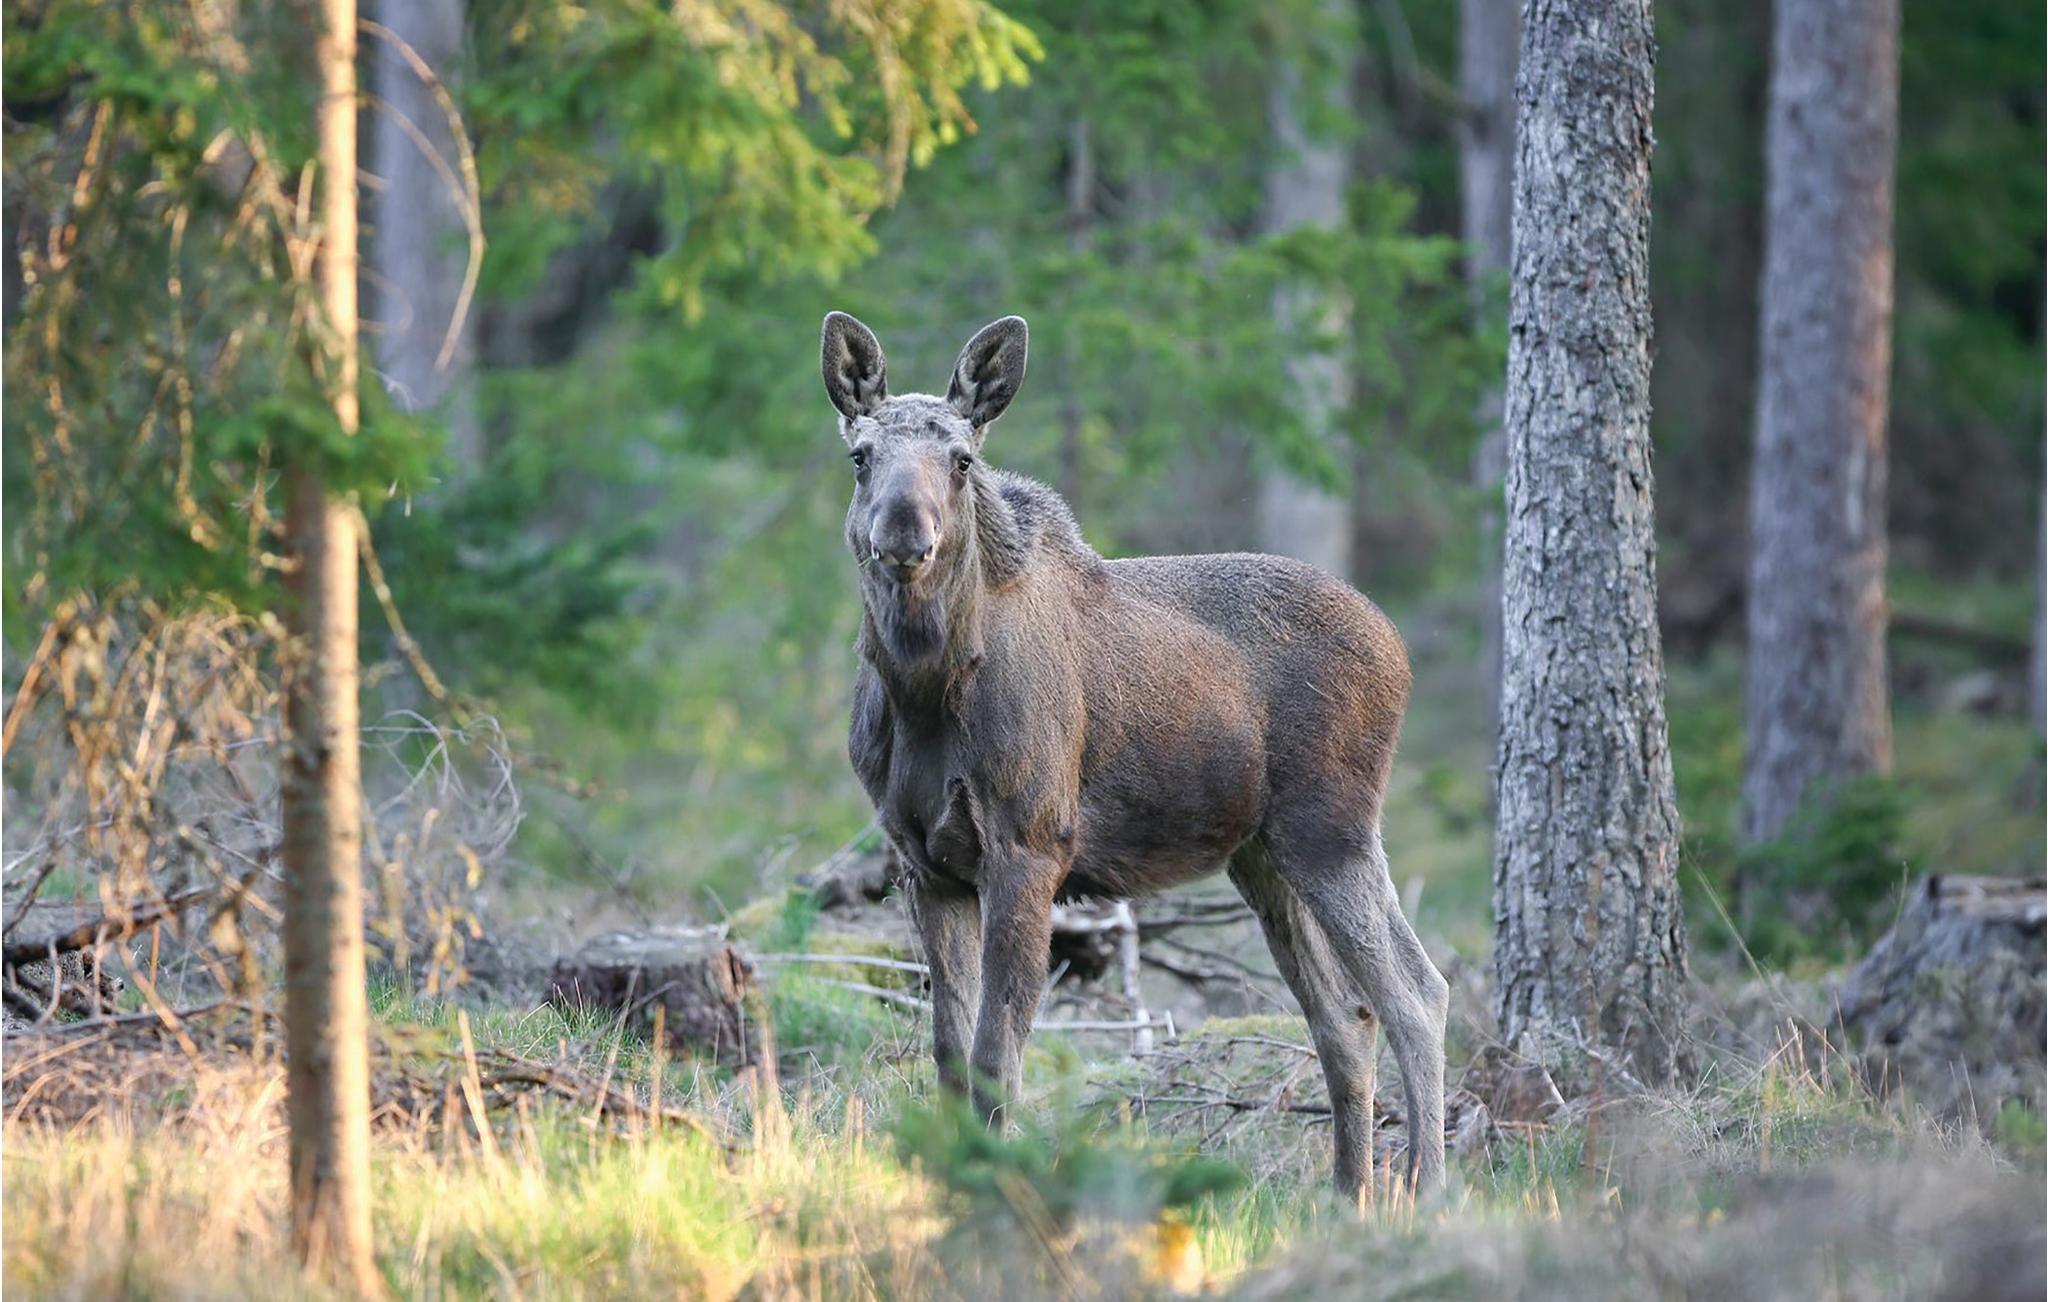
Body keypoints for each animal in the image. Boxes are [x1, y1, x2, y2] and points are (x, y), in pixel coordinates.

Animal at [822, 310, 1449, 1195]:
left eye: (962, 458)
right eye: (861, 455)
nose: (904, 530)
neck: (923, 689)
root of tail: (1400, 652)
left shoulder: (1031, 844)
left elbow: (996, 1054)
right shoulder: (924, 861)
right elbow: (949, 1056)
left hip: (1332, 827)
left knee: (1416, 996)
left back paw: (1424, 1193)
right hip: (1260, 855)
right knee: (1344, 1018)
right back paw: (1347, 1197)